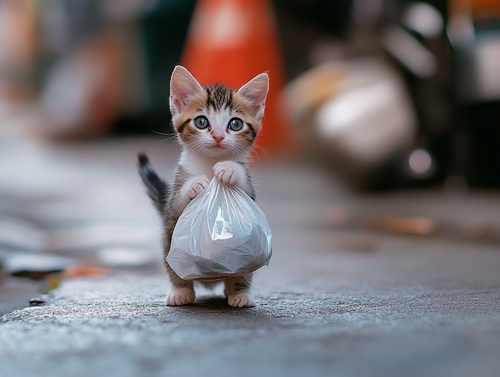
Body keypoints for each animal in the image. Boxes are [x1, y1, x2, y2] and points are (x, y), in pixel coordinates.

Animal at [137, 64, 270, 306]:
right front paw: (196, 183)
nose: (218, 136)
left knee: (241, 274)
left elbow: (242, 182)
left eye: (235, 124)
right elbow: (178, 202)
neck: (209, 164)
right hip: (169, 241)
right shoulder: (172, 201)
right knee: (174, 267)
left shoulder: (250, 191)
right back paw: (181, 291)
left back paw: (239, 293)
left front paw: (228, 169)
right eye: (201, 122)